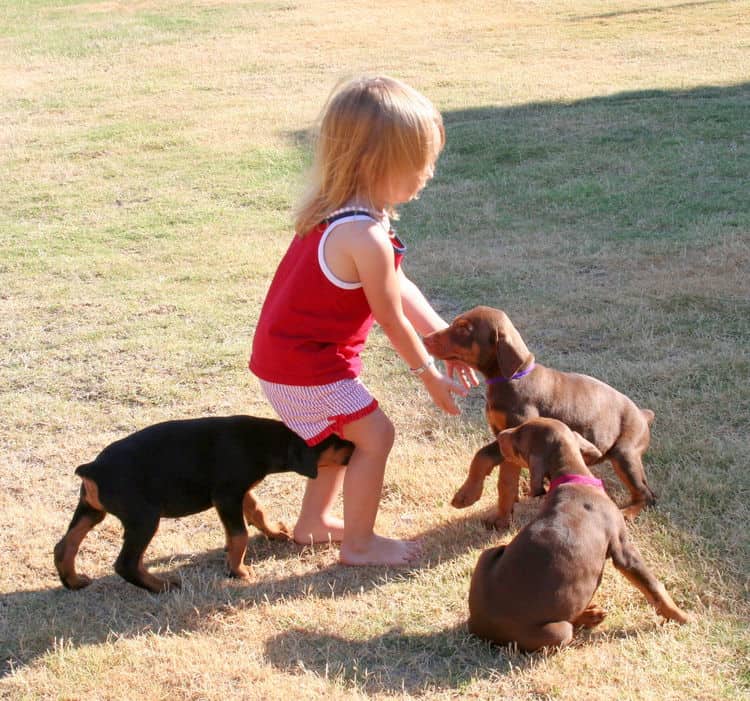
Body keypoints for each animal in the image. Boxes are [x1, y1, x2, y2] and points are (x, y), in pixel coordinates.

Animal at [55, 416, 356, 592]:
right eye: (335, 442)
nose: (355, 446)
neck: (263, 441)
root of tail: (93, 469)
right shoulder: (226, 495)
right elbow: (239, 534)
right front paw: (239, 571)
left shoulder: (238, 492)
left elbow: (256, 511)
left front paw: (273, 533)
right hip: (144, 518)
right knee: (126, 563)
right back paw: (161, 585)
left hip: (91, 510)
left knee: (65, 545)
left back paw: (73, 581)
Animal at [424, 304, 656, 528]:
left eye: (464, 328)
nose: (425, 339)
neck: (511, 379)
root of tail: (642, 415)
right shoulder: (507, 441)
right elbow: (506, 481)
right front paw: (503, 517)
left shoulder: (516, 432)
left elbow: (483, 457)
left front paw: (468, 496)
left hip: (625, 455)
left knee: (648, 495)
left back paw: (627, 512)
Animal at [470, 416, 692, 652]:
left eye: (519, 436)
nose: (500, 435)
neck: (572, 478)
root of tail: (477, 626)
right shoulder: (624, 550)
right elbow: (654, 587)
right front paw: (682, 617)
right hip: (558, 632)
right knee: (568, 621)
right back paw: (590, 617)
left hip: (489, 552)